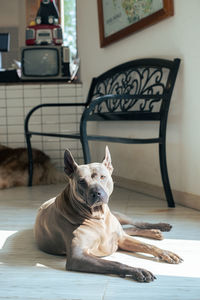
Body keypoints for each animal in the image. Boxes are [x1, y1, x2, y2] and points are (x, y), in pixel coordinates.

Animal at [34, 146, 183, 282]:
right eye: (81, 181)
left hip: (119, 216)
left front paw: (165, 252)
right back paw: (155, 232)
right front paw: (137, 270)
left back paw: (159, 227)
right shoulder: (78, 257)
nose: (96, 193)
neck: (97, 216)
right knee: (130, 229)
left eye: (102, 177)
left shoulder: (121, 238)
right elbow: (115, 263)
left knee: (135, 224)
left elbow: (147, 245)